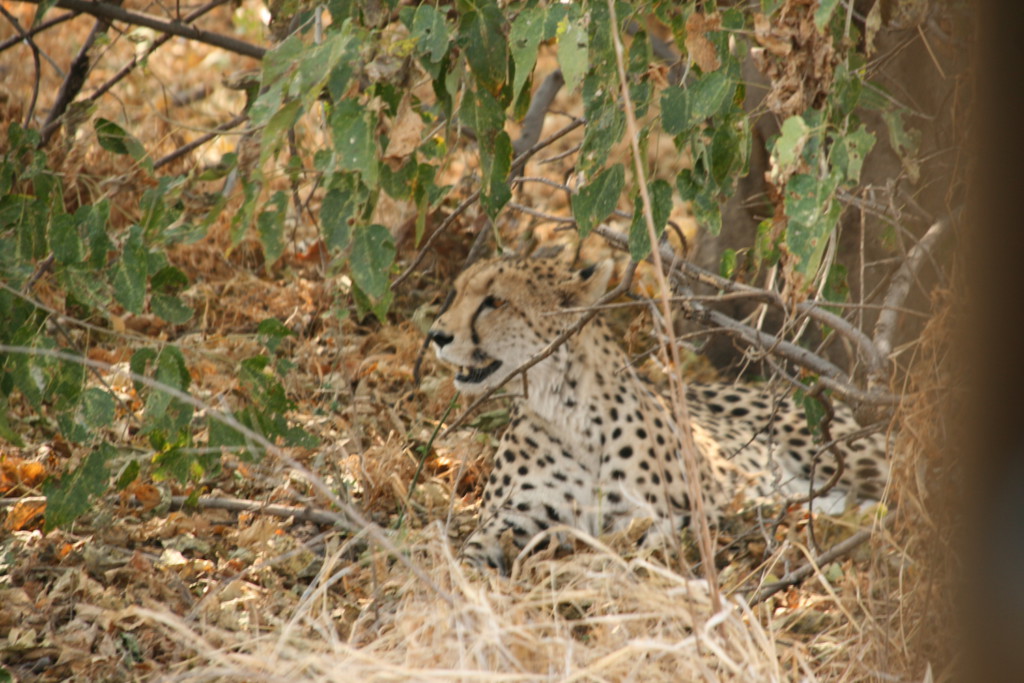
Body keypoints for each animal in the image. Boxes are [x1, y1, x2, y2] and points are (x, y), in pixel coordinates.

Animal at [425, 255, 888, 573]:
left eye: (494, 301)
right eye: (456, 294)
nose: (436, 335)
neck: (564, 410)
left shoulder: (677, 514)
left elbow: (644, 547)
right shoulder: (515, 518)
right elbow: (470, 554)